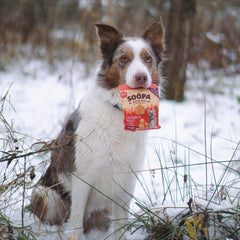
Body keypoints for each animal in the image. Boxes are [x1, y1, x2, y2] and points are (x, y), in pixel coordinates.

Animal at [30, 17, 165, 239]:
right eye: (124, 59)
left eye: (148, 59)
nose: (141, 77)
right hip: (46, 194)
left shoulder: (127, 181)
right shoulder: (82, 177)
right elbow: (76, 222)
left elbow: (121, 226)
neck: (120, 110)